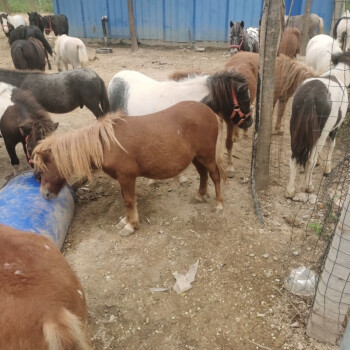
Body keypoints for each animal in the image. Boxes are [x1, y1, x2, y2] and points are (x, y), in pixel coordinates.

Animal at [33, 102, 227, 238]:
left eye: (43, 169)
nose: (44, 194)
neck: (106, 144)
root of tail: (209, 112)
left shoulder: (127, 177)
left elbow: (129, 200)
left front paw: (131, 225)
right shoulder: (122, 178)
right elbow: (125, 199)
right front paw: (125, 221)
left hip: (207, 156)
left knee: (215, 176)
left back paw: (219, 204)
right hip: (196, 157)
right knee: (203, 174)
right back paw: (200, 195)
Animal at [284, 52, 350, 200]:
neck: (338, 75)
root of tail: (310, 96)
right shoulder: (334, 129)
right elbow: (331, 146)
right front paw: (327, 169)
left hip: (294, 130)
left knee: (294, 158)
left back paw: (290, 191)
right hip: (321, 133)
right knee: (310, 160)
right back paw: (307, 186)